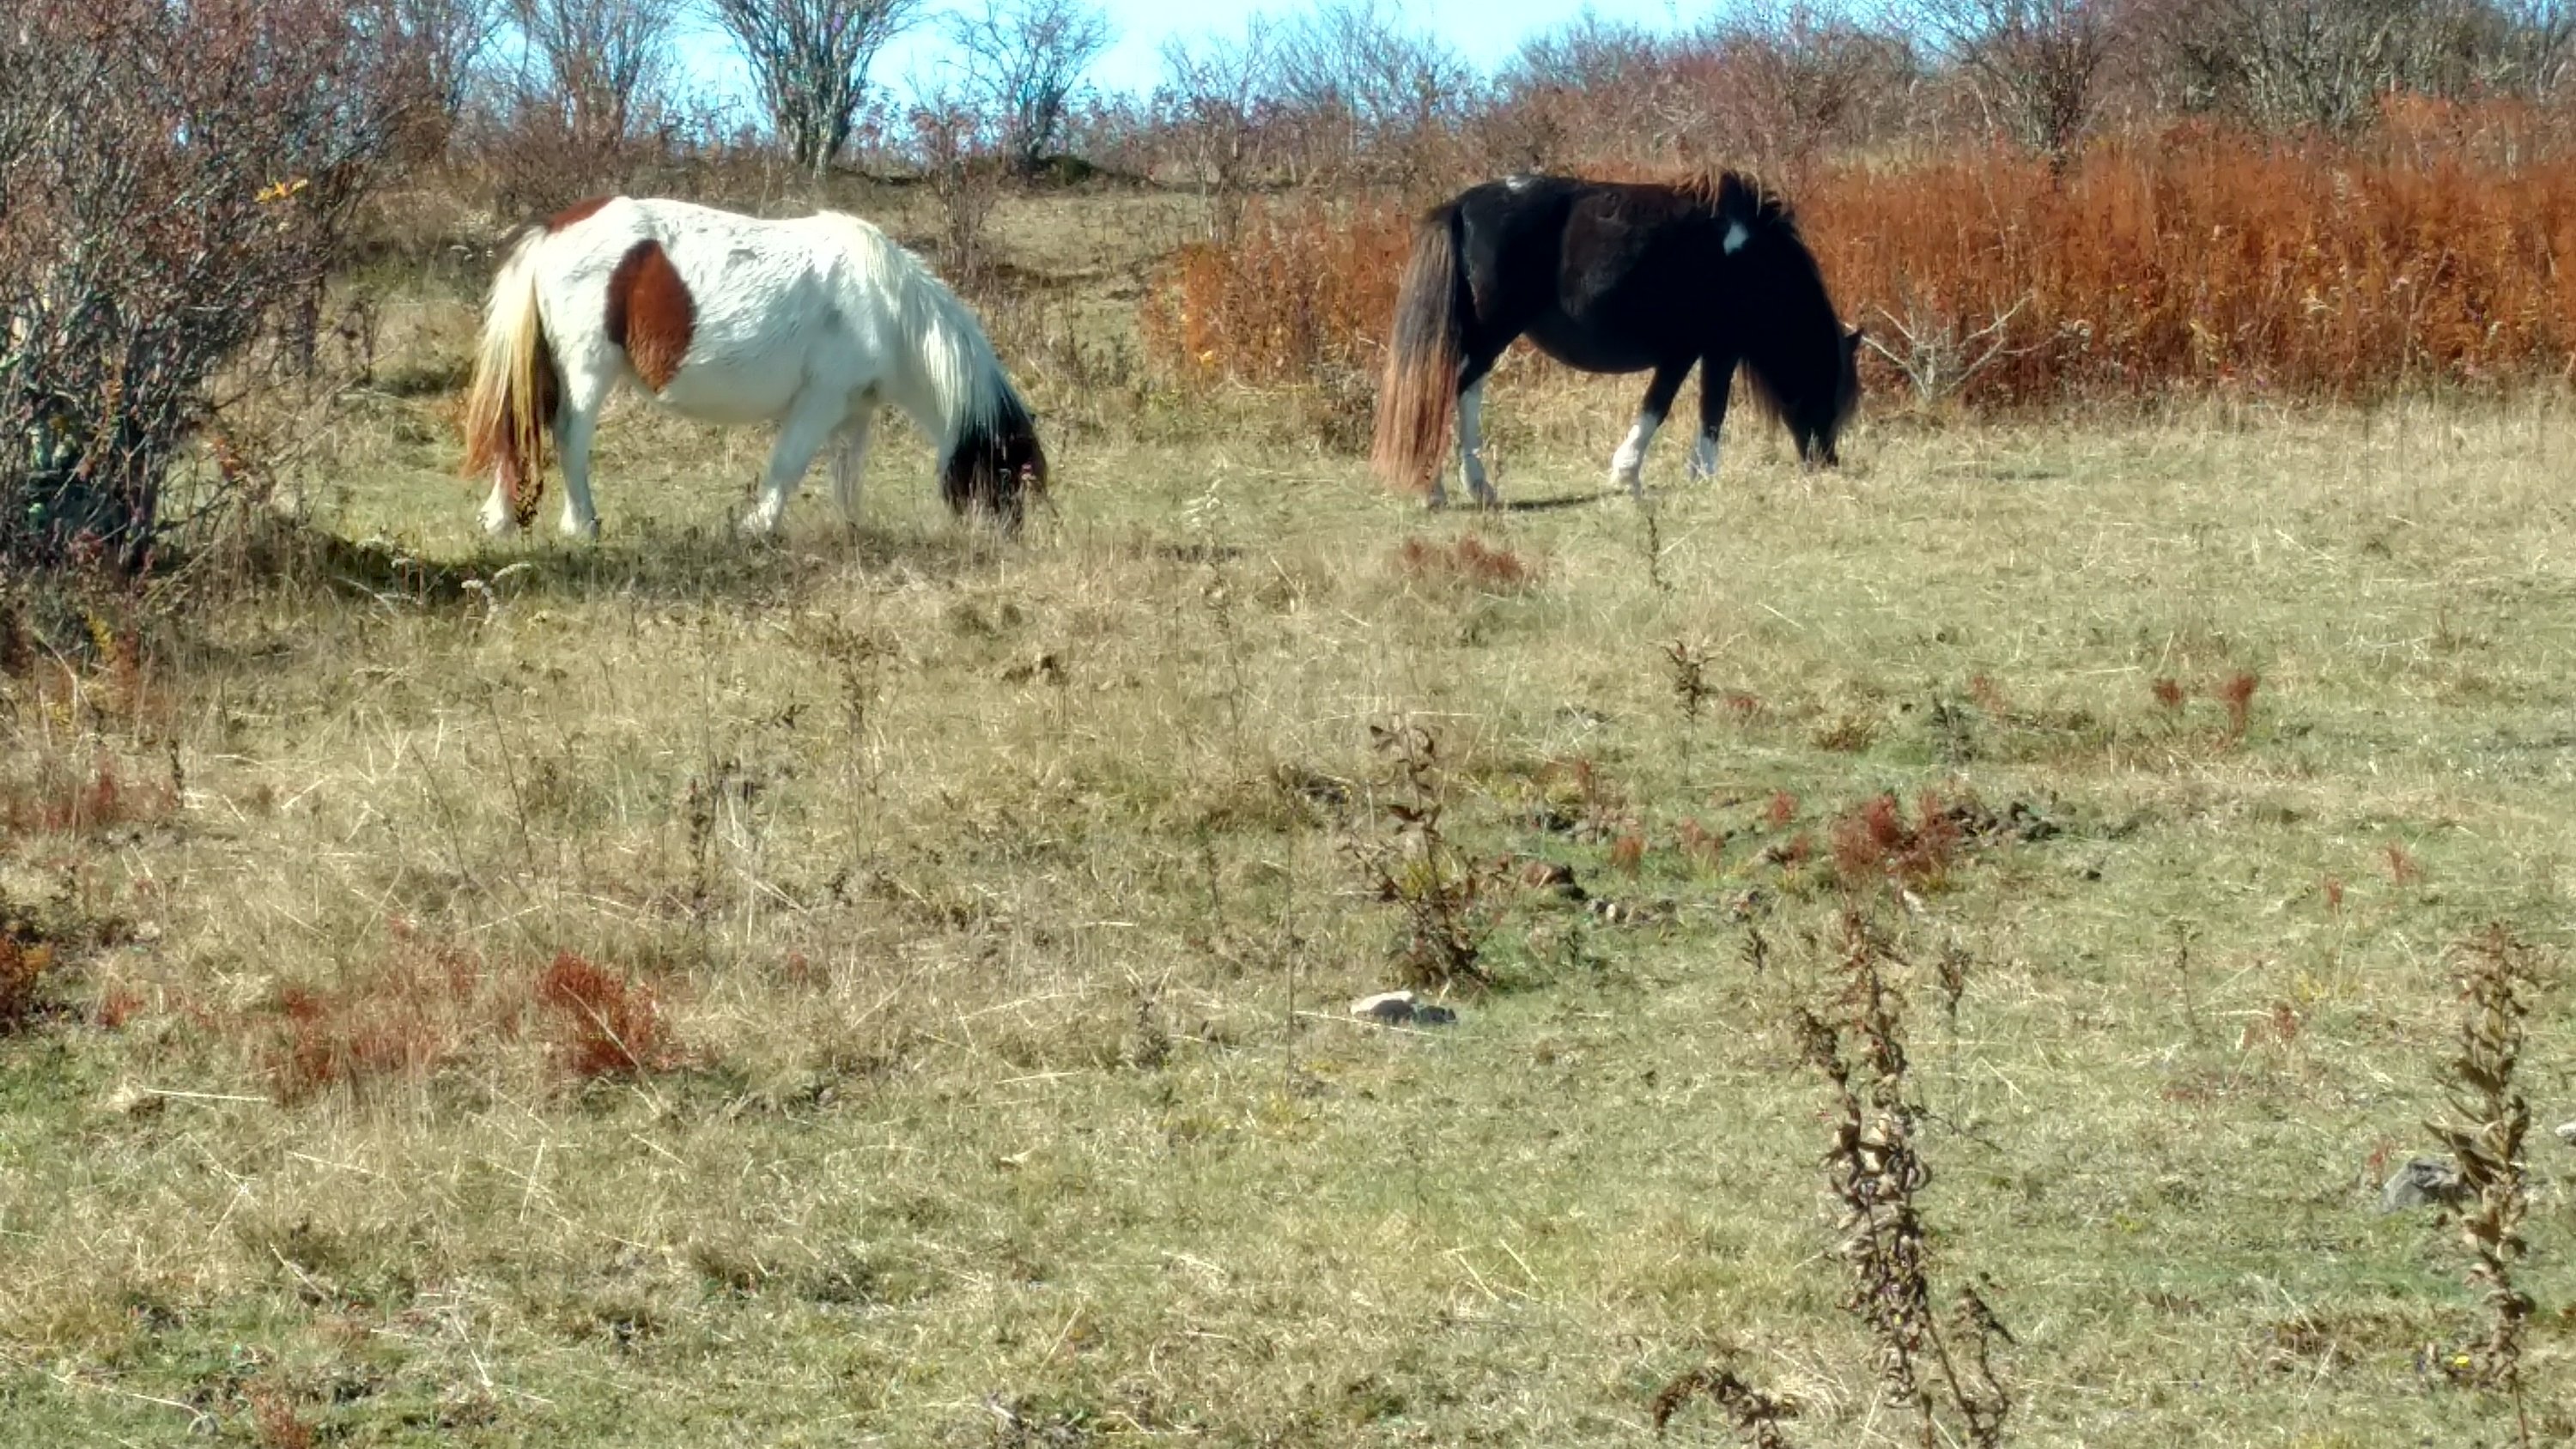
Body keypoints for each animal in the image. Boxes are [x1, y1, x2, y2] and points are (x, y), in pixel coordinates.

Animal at [462, 195, 1046, 540]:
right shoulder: (819, 401)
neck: (887, 306)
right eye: (1006, 474)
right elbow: (787, 466)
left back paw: (501, 519)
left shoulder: (854, 410)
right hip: (586, 373)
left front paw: (851, 533)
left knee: (519, 430)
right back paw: (581, 525)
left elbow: (847, 477)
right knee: (568, 438)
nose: (1007, 542)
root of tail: (555, 228)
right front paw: (757, 528)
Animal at [1370, 172, 1863, 508]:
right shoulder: (1708, 350)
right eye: (1831, 392)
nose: (1826, 464)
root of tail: (1461, 206)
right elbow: (1682, 409)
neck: (1745, 258)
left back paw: (1476, 488)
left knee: (1465, 394)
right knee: (1446, 395)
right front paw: (1660, 475)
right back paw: (1436, 488)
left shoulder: (1696, 351)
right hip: (1491, 333)